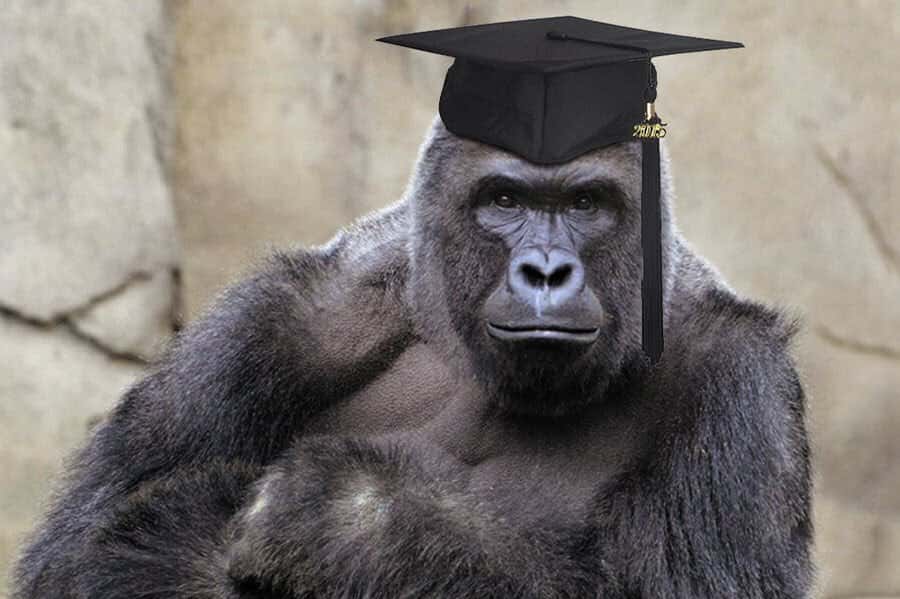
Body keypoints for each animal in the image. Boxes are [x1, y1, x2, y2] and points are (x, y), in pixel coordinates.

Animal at [13, 117, 813, 598]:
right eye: (503, 199)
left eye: (588, 203)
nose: (546, 272)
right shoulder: (280, 319)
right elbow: (75, 557)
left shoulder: (741, 380)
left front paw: (359, 521)